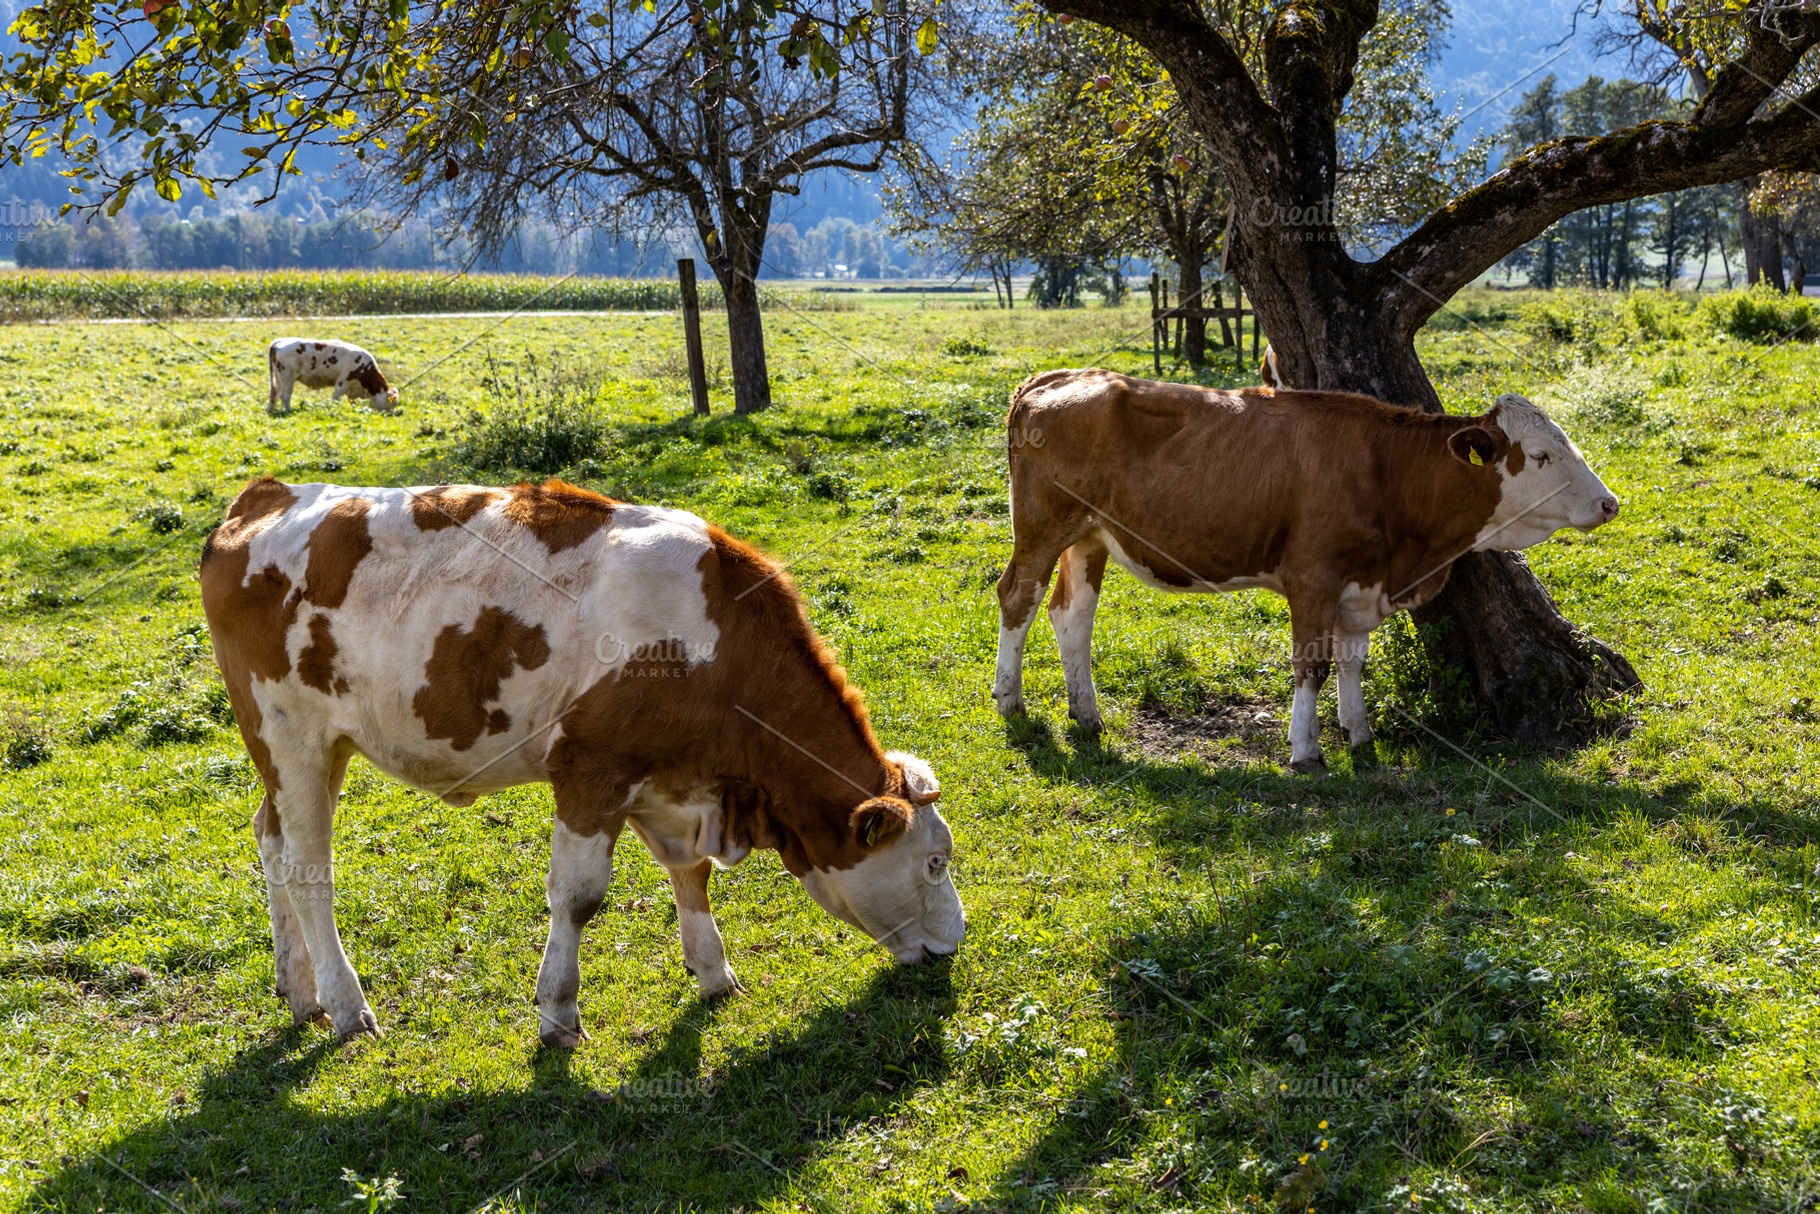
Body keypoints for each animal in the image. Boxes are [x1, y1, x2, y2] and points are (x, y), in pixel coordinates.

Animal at [200, 477, 964, 1046]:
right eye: (933, 862)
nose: (954, 943)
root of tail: (268, 495)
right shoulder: (590, 769)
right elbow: (578, 897)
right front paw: (558, 1012)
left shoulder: (667, 781)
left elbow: (690, 874)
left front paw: (713, 972)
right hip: (290, 737)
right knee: (307, 871)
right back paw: (346, 1005)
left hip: (316, 751)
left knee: (271, 842)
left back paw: (298, 990)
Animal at [267, 338, 398, 414]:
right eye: (392, 403)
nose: (390, 415)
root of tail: (279, 341)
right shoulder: (343, 382)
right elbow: (336, 398)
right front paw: (333, 409)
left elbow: (352, 401)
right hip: (288, 377)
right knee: (285, 396)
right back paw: (289, 411)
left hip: (277, 378)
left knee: (274, 394)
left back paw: (272, 411)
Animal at [991, 369, 1621, 772]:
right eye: (1540, 455)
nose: (1609, 503)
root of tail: (1052, 378)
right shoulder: (1313, 577)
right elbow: (1311, 663)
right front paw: (1306, 749)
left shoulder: (1361, 583)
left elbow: (1352, 660)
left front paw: (1359, 734)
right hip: (1044, 527)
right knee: (1018, 597)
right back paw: (1010, 700)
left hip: (1090, 537)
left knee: (1072, 617)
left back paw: (1087, 713)